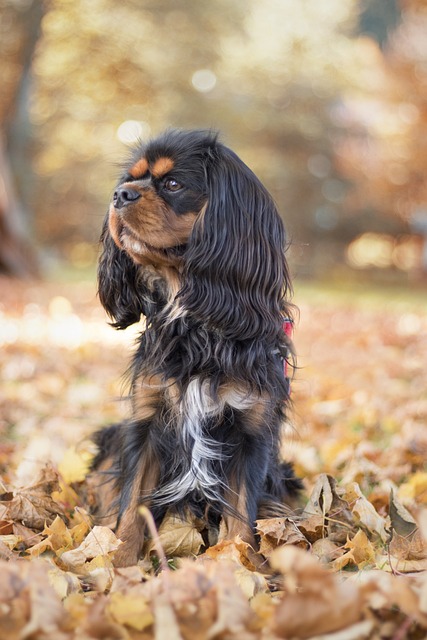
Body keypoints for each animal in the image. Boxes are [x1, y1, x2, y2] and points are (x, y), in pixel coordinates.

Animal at [92, 129, 302, 564]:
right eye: (130, 179)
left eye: (173, 184)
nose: (120, 195)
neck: (195, 324)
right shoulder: (147, 422)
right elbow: (132, 506)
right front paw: (119, 566)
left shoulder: (251, 432)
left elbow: (241, 515)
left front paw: (243, 565)